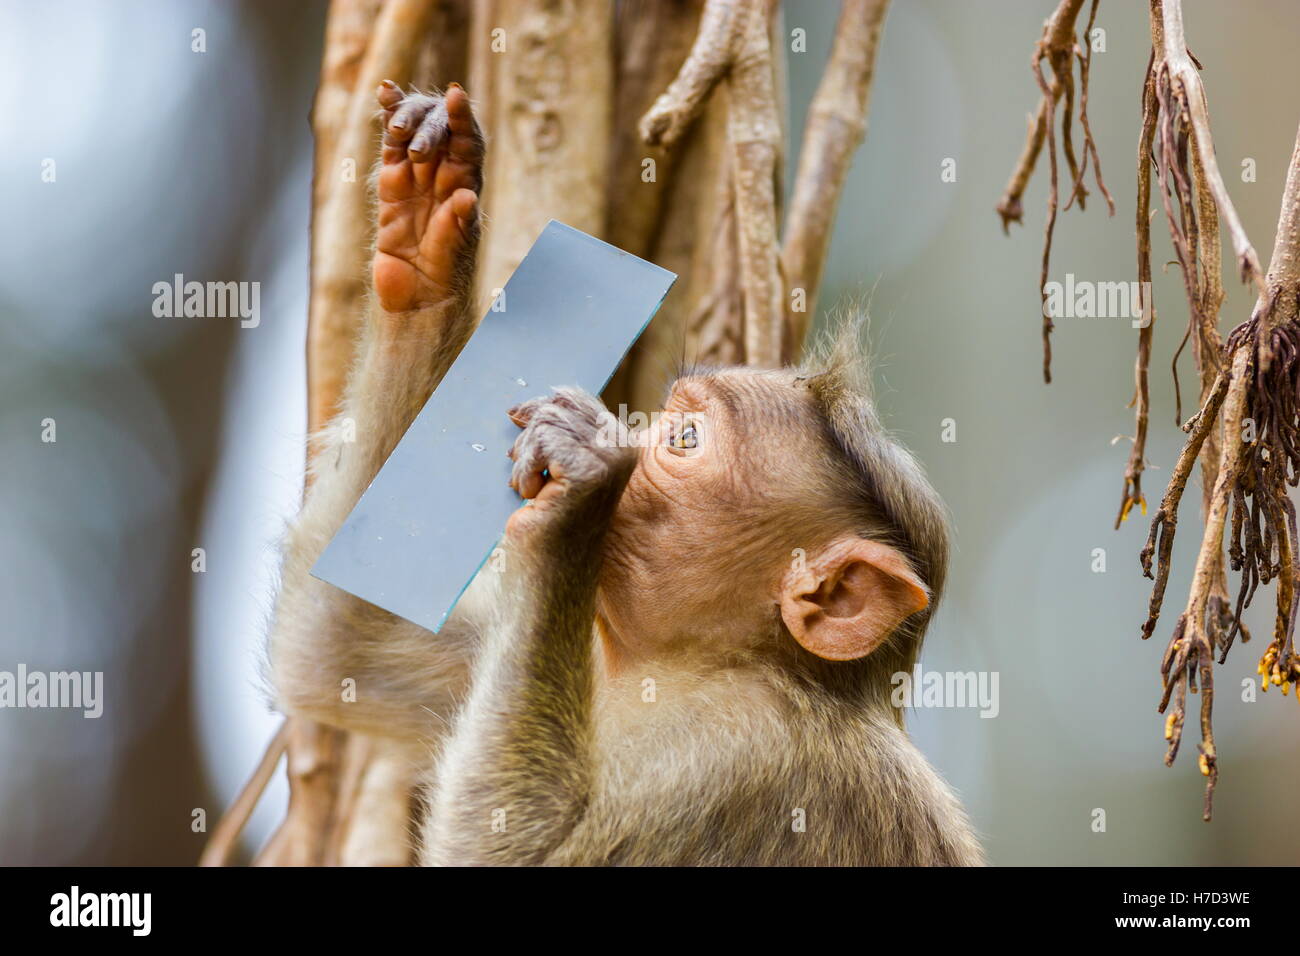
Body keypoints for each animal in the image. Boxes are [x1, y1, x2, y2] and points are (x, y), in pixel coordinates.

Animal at [269, 82, 977, 868]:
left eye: (684, 439)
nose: (630, 437)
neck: (700, 665)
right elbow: (338, 645)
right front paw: (428, 235)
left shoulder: (742, 760)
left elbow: (514, 854)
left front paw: (576, 492)